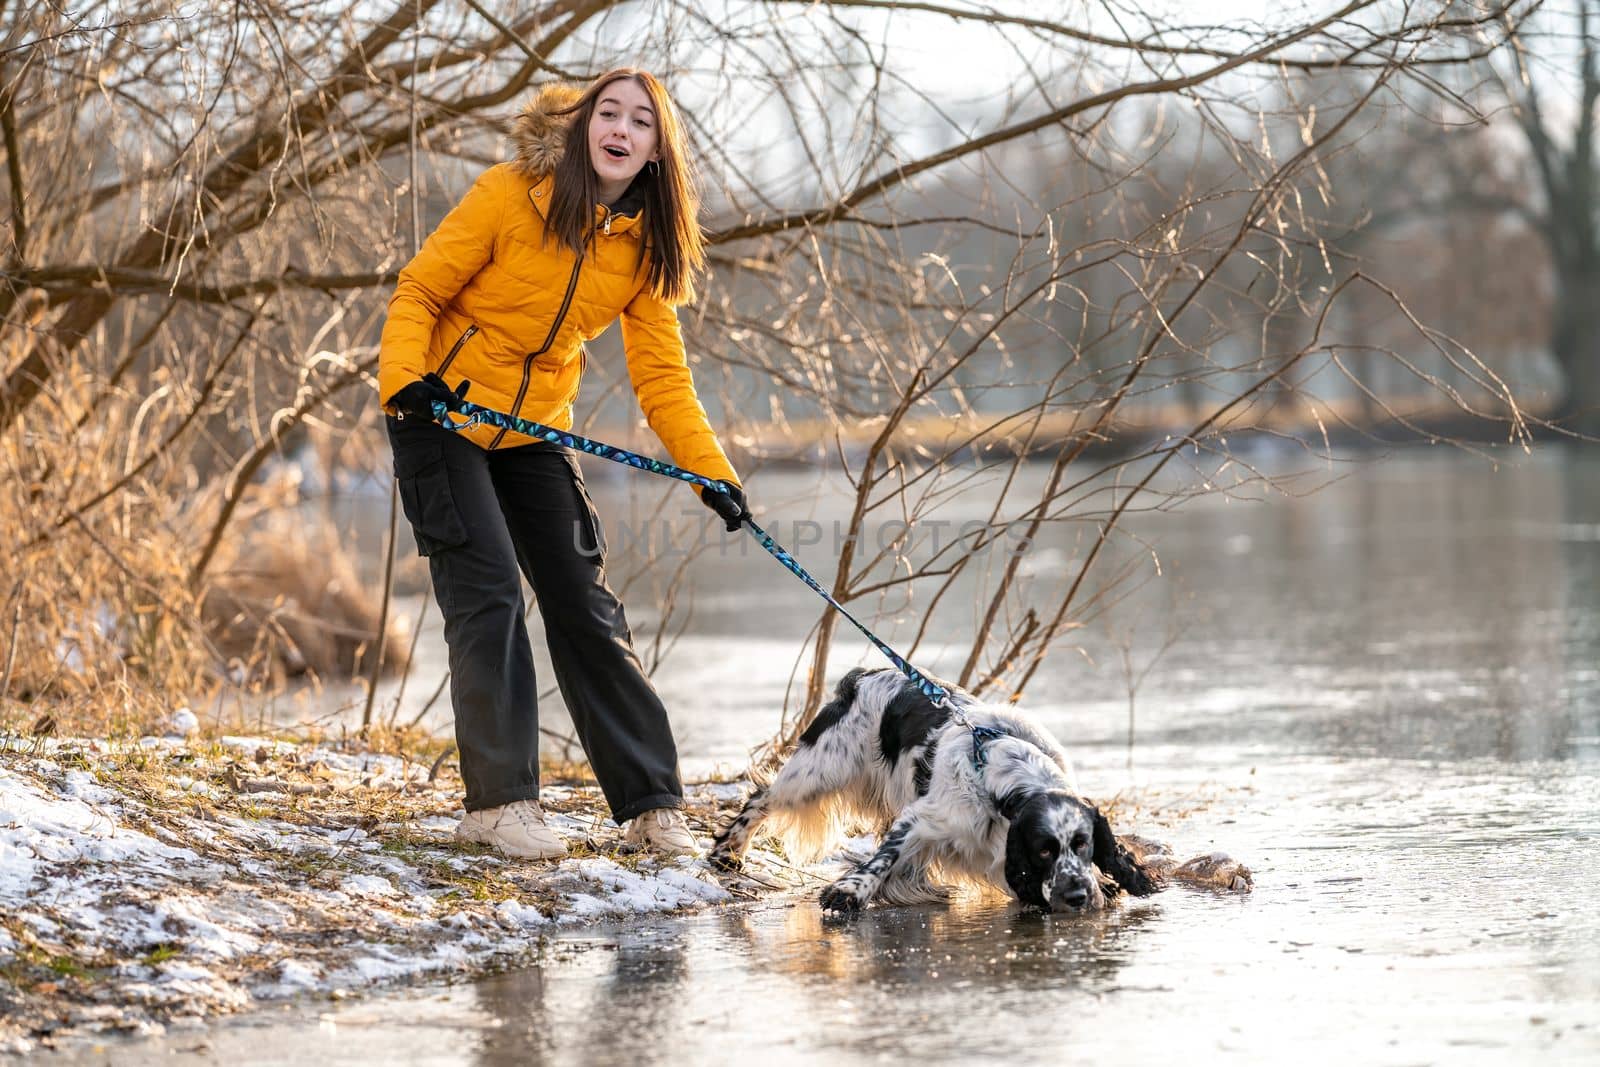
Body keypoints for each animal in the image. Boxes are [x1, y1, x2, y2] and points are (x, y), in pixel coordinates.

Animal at [713, 668, 1164, 908]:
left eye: (1084, 844)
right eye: (1043, 850)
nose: (1076, 897)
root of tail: (863, 676)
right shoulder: (922, 818)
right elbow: (883, 857)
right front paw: (848, 893)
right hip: (820, 770)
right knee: (761, 798)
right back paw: (727, 853)